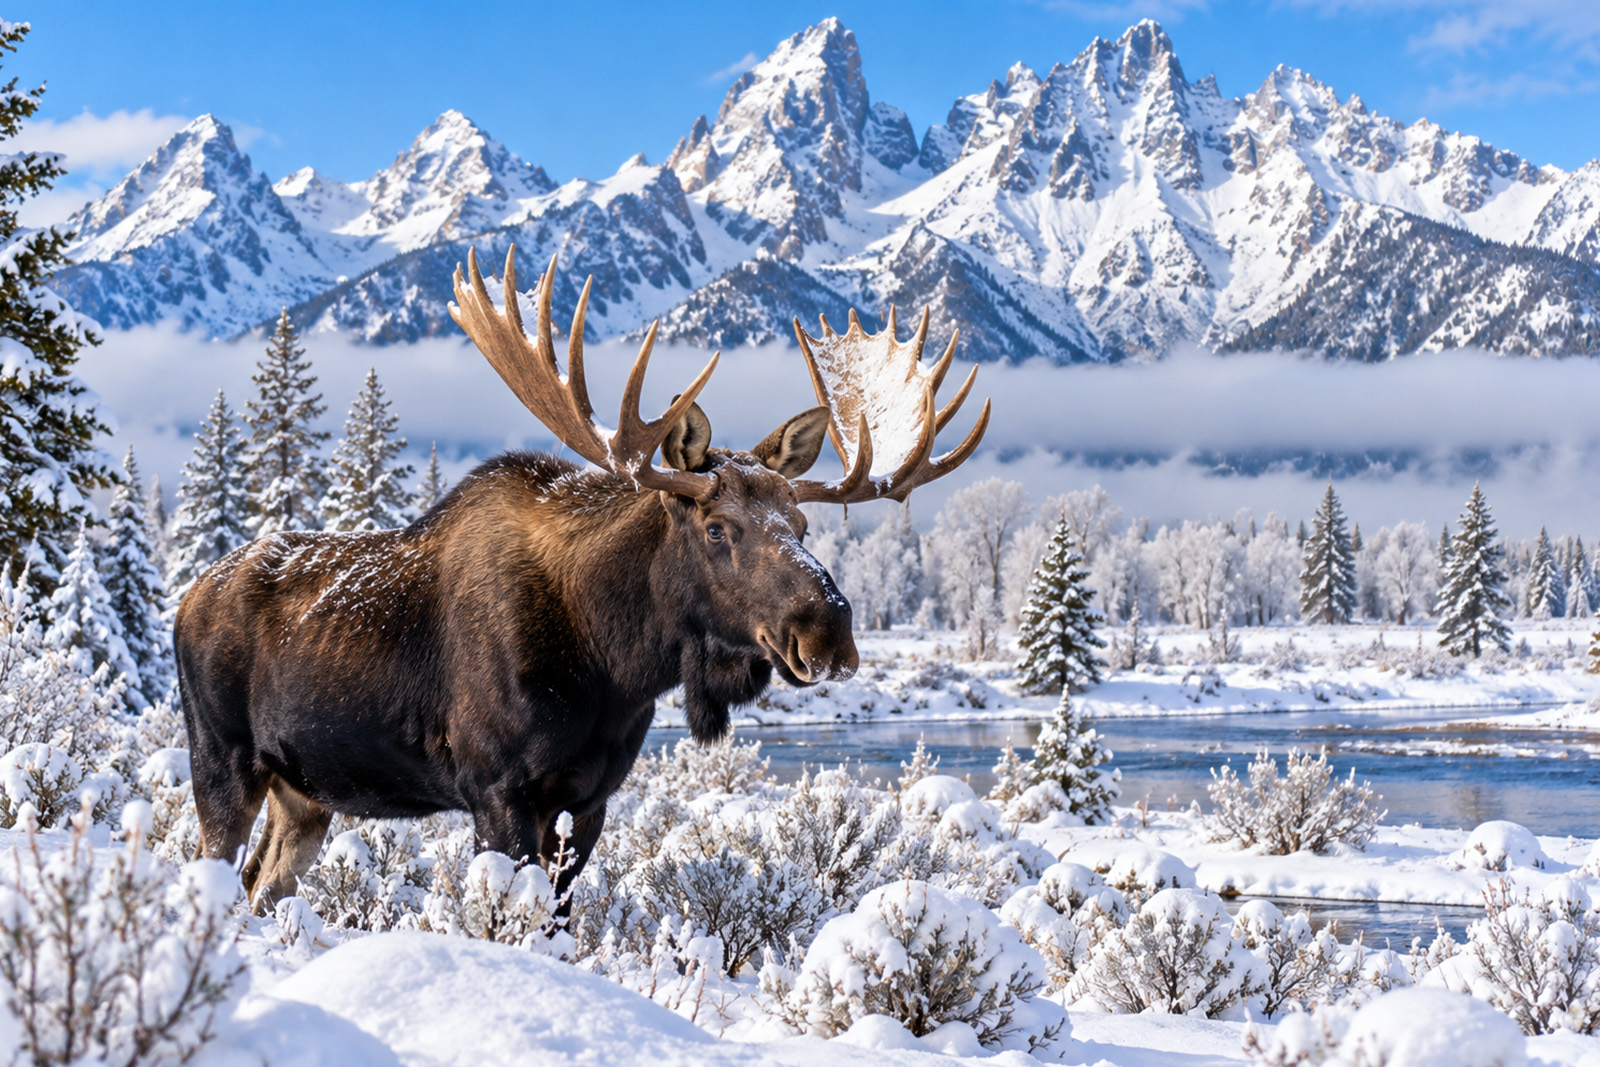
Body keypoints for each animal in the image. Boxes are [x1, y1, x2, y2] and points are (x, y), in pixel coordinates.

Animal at [175, 245, 989, 911]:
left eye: (803, 524)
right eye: (717, 528)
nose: (828, 628)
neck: (614, 663)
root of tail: (185, 600)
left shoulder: (591, 799)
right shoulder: (497, 791)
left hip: (304, 794)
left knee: (259, 888)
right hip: (222, 761)